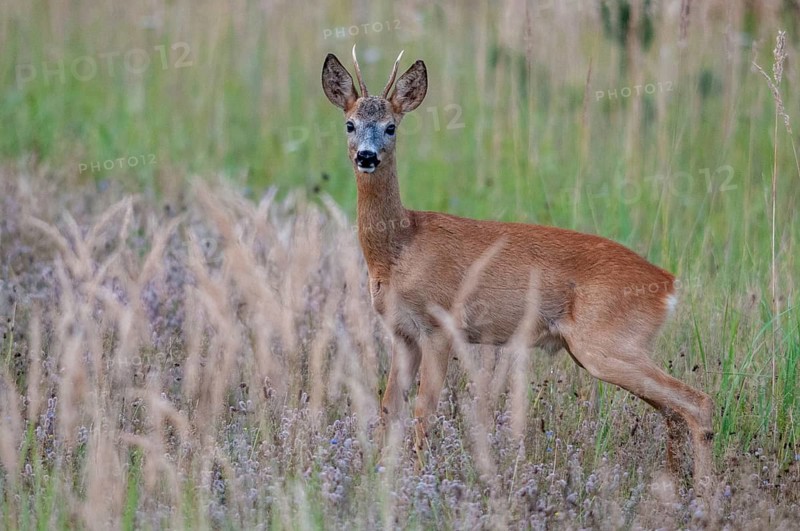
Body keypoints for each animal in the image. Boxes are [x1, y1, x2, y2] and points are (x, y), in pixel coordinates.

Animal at [321, 46, 714, 488]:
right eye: (350, 124)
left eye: (391, 127)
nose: (366, 156)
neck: (400, 248)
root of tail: (668, 283)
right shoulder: (402, 333)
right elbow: (389, 408)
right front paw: (379, 474)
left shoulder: (440, 327)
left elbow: (425, 411)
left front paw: (420, 480)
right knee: (673, 411)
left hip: (607, 344)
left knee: (697, 402)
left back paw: (706, 493)